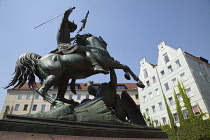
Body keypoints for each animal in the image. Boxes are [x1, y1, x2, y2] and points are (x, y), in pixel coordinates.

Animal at [5, 34, 145, 106]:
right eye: (103, 40)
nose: (105, 43)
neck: (96, 48)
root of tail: (38, 60)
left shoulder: (110, 63)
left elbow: (121, 65)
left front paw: (131, 78)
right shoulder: (106, 62)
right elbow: (125, 65)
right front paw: (139, 82)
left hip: (63, 79)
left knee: (60, 94)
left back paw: (70, 102)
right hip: (54, 75)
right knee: (41, 90)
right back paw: (57, 103)